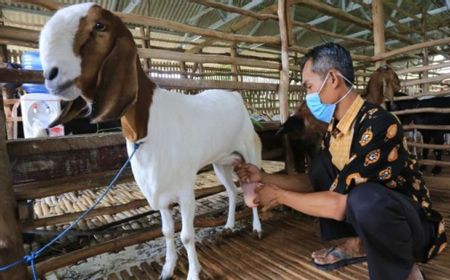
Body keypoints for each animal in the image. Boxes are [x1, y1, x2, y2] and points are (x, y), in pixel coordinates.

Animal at [39, 2, 264, 280]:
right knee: (232, 191)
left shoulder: (185, 190)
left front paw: (193, 273)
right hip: (221, 162)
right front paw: (167, 269)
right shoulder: (158, 191)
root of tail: (235, 96)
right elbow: (166, 231)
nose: (50, 75)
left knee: (253, 189)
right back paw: (230, 225)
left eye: (100, 26)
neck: (145, 130)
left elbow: (186, 235)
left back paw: (257, 228)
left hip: (250, 153)